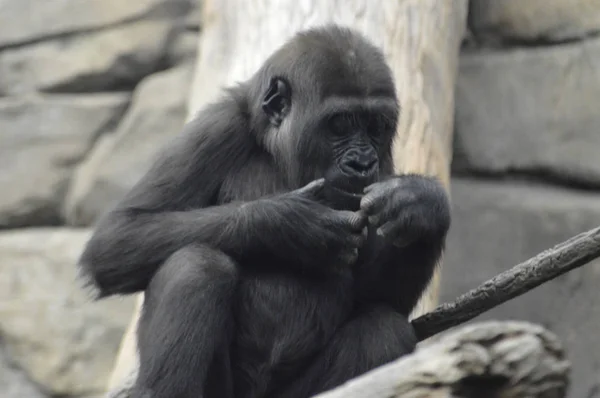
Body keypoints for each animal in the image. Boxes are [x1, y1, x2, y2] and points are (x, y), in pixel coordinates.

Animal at [76, 24, 450, 398]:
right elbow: (118, 237)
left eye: (376, 127)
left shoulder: (384, 167)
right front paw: (293, 225)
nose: (363, 163)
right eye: (341, 124)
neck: (275, 148)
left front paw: (421, 206)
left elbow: (380, 298)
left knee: (383, 329)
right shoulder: (216, 128)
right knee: (197, 265)